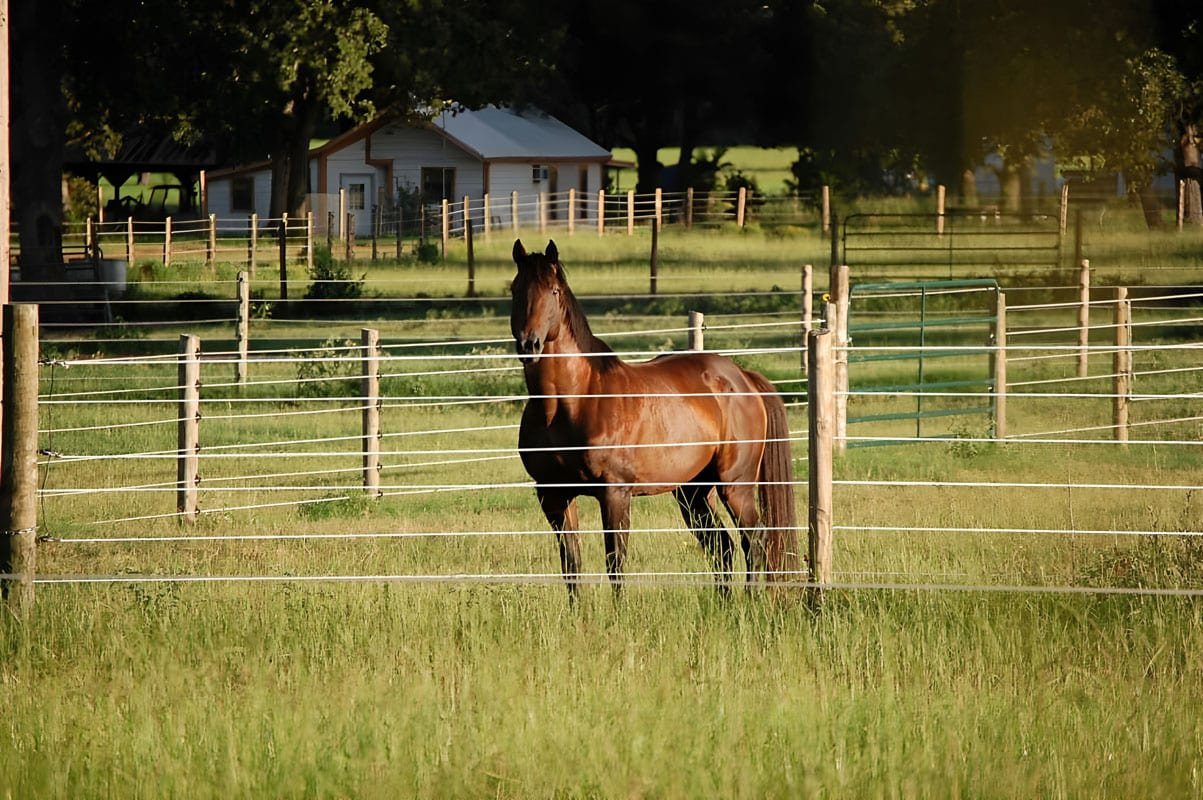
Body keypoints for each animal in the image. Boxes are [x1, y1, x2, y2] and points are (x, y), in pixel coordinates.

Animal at [510, 239, 800, 600]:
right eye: (515, 289)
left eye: (553, 290)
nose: (529, 344)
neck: (571, 403)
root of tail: (742, 377)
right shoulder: (553, 495)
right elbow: (572, 566)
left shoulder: (614, 493)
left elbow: (615, 564)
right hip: (693, 493)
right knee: (722, 545)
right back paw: (725, 604)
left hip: (735, 486)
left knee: (754, 539)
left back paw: (750, 601)